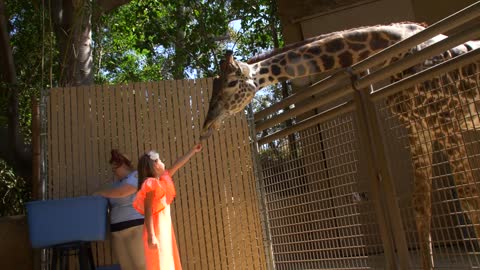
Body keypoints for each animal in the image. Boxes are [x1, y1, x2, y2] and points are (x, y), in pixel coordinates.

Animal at [201, 22, 480, 268]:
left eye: (231, 83)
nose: (206, 124)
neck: (398, 48)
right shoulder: (418, 128)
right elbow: (421, 206)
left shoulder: (445, 119)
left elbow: (469, 199)